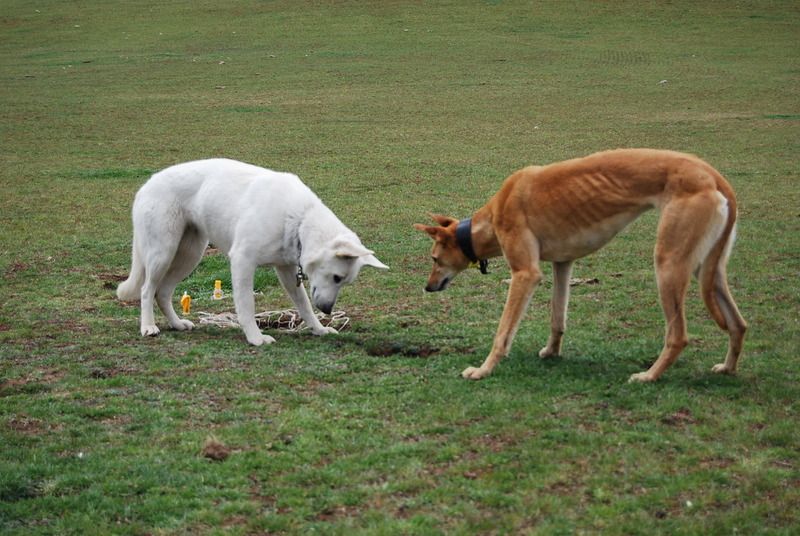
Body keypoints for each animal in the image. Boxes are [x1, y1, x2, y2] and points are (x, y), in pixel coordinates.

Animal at [117, 157, 390, 346]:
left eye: (342, 281)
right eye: (336, 277)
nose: (328, 310)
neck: (299, 219)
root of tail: (146, 185)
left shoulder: (287, 271)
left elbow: (303, 306)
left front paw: (319, 329)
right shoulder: (242, 261)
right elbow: (247, 305)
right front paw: (256, 338)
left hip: (189, 255)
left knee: (162, 292)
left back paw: (176, 324)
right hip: (162, 253)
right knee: (147, 290)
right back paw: (148, 327)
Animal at [416, 149, 748, 384]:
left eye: (434, 259)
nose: (428, 287)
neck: (489, 219)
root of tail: (713, 175)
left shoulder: (525, 274)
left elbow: (503, 333)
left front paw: (483, 370)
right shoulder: (563, 263)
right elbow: (557, 318)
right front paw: (551, 352)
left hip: (669, 264)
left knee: (678, 336)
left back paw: (649, 376)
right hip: (708, 269)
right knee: (739, 323)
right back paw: (727, 368)